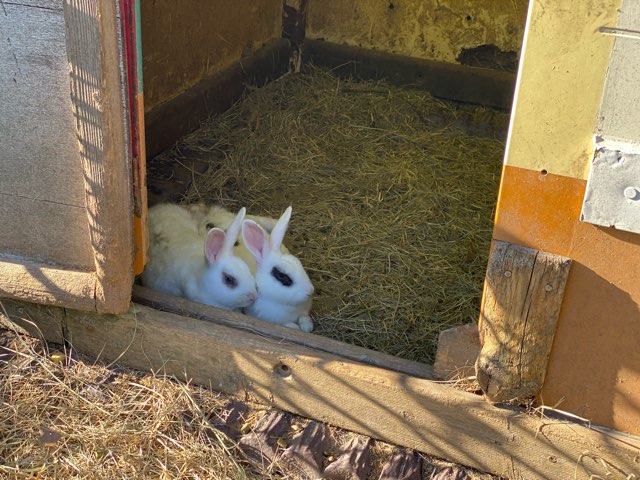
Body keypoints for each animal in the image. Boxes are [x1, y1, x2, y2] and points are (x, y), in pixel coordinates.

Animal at [240, 204, 316, 332]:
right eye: (281, 275)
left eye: (298, 262)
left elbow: (304, 317)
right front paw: (295, 327)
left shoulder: (304, 308)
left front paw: (307, 327)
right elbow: (288, 325)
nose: (310, 291)